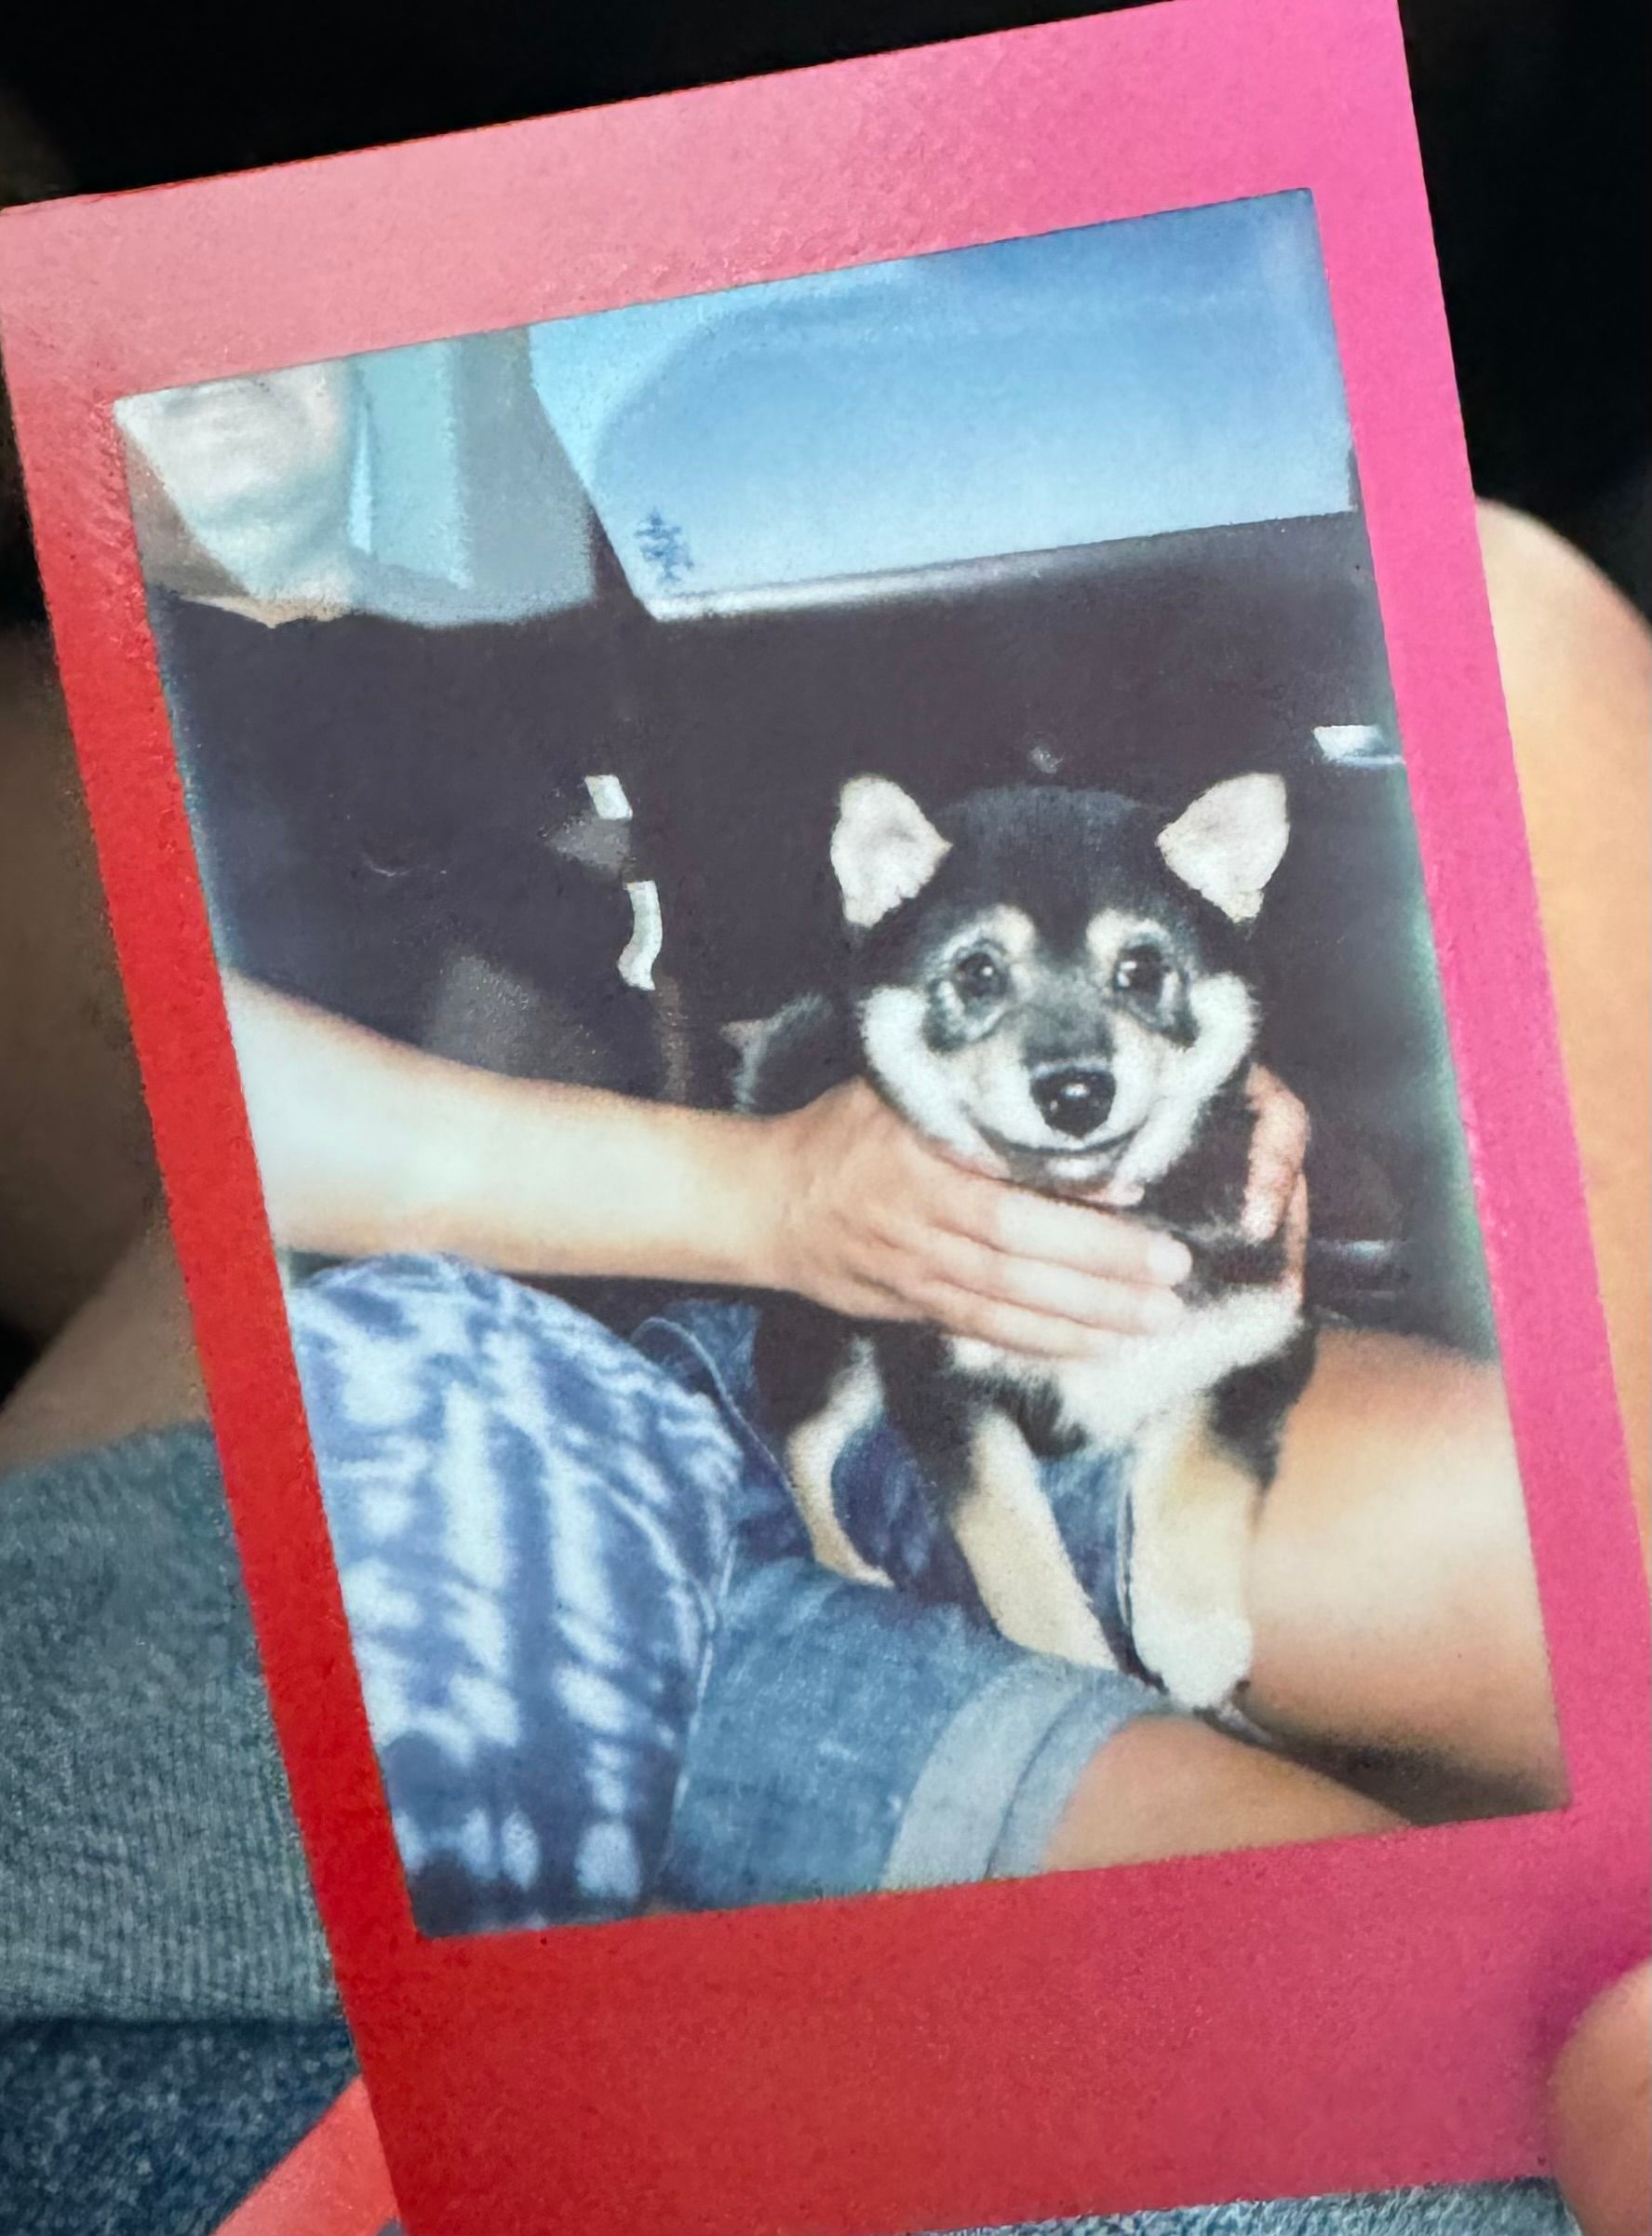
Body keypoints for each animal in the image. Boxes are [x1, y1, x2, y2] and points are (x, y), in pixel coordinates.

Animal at [737, 771, 1316, 1711]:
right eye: (977, 971)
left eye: (1141, 969)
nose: (1075, 1092)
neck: (1085, 1211)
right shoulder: (944, 1392)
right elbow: (1009, 1542)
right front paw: (1072, 1654)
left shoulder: (1257, 1342)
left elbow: (1199, 1469)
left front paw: (1192, 1635)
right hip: (840, 1343)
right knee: (798, 1447)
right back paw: (844, 1561)